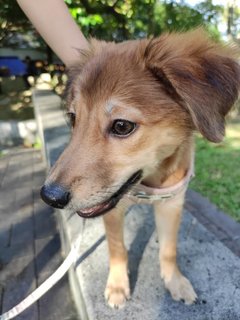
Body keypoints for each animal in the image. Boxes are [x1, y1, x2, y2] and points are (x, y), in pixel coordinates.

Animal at [40, 29, 240, 308]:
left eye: (122, 126)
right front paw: (117, 285)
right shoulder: (114, 210)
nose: (50, 197)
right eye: (73, 118)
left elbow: (169, 249)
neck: (149, 182)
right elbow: (117, 248)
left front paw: (174, 280)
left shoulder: (172, 203)